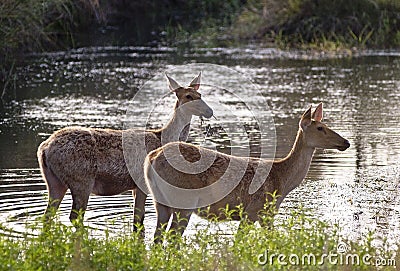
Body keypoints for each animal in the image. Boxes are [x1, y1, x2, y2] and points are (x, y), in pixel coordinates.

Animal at [37, 71, 212, 230]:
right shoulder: (141, 182)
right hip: (81, 178)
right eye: (188, 96)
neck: (163, 137)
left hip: (53, 180)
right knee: (74, 216)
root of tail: (44, 149)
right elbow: (138, 219)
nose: (209, 111)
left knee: (48, 215)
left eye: (200, 94)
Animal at [144, 103, 350, 242]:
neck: (282, 180)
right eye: (320, 128)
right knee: (172, 239)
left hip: (159, 201)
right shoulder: (254, 210)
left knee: (157, 238)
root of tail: (151, 159)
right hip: (184, 201)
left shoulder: (264, 214)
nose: (346, 142)